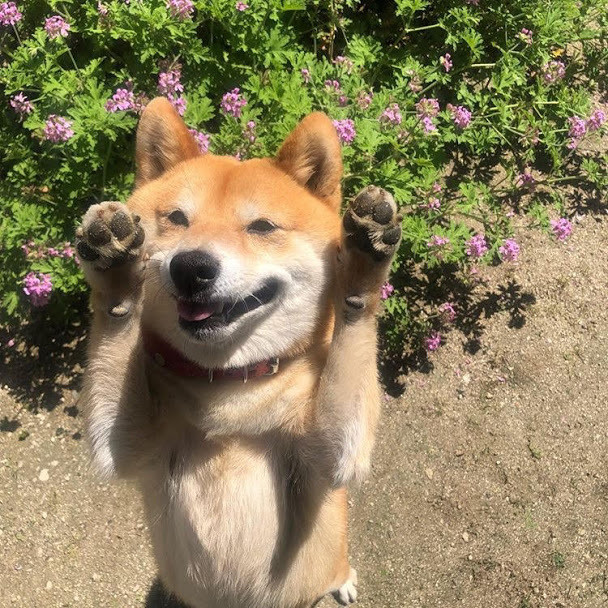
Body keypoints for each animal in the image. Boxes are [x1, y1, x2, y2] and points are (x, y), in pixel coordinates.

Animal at [76, 98, 402, 608]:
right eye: (176, 218)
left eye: (262, 226)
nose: (191, 267)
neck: (229, 390)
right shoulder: (127, 447)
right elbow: (116, 334)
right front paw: (115, 270)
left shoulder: (329, 458)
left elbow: (352, 333)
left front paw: (364, 262)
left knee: (338, 564)